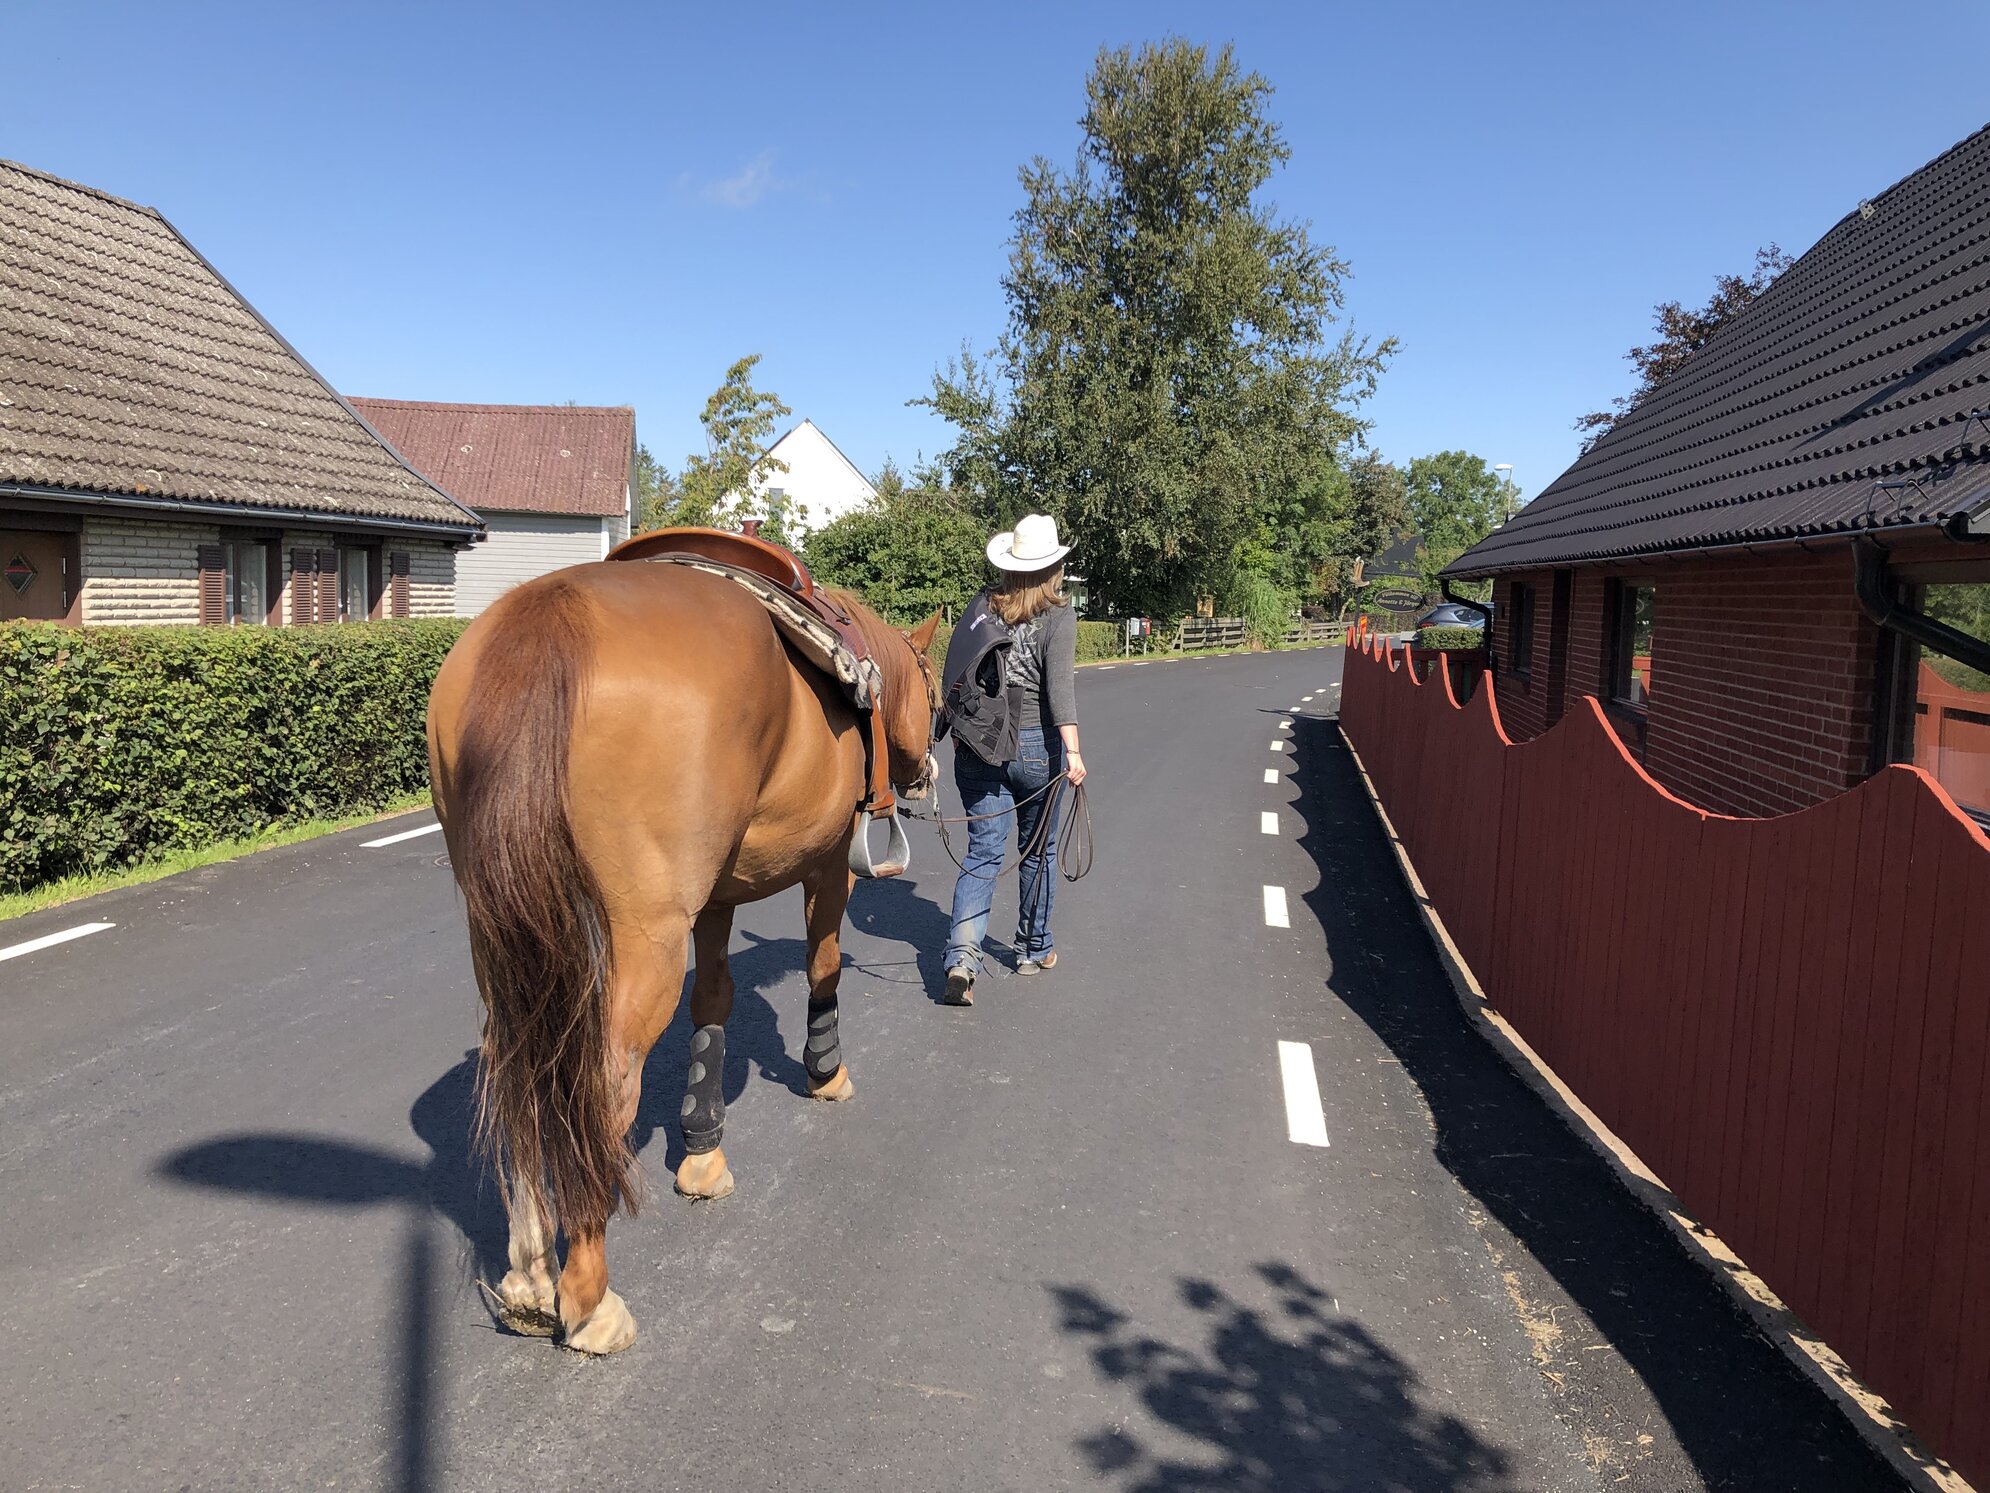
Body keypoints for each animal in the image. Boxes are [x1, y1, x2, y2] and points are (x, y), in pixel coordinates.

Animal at [427, 557, 939, 1353]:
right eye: (938, 692)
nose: (931, 771)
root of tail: (549, 616)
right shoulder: (830, 867)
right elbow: (822, 965)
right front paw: (826, 1071)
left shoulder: (717, 897)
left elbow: (715, 999)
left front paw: (702, 1149)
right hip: (648, 932)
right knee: (606, 1077)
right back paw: (587, 1298)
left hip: (501, 934)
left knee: (514, 1061)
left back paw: (531, 1276)